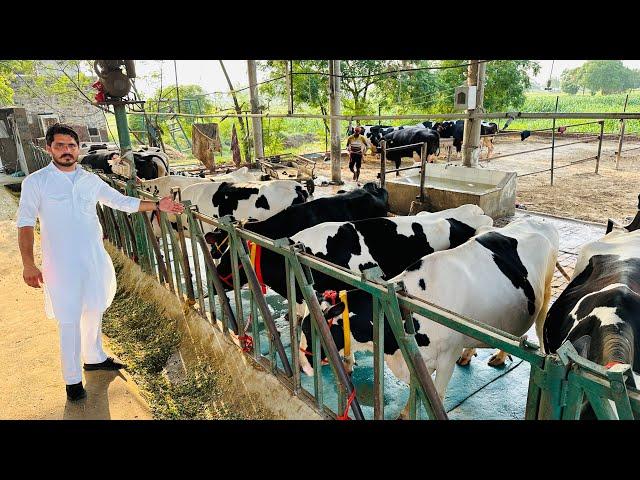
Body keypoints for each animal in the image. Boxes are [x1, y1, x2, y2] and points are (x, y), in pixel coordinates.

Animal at [298, 218, 556, 404]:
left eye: (310, 330)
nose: (302, 367)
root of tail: (538, 221)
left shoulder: (447, 357)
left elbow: (436, 396)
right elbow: (417, 392)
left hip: (545, 295)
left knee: (537, 327)